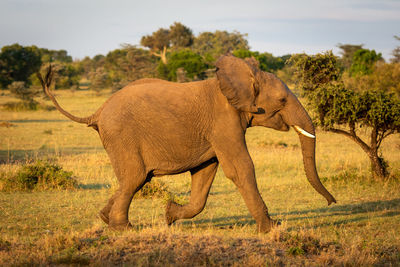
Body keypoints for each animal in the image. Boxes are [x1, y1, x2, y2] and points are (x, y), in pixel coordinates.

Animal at [39, 55, 336, 233]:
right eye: (283, 101)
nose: (331, 203)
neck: (237, 79)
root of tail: (98, 111)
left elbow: (205, 173)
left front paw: (169, 215)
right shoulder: (224, 122)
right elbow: (240, 168)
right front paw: (272, 228)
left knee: (135, 179)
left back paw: (105, 218)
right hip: (121, 135)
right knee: (135, 177)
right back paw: (124, 229)